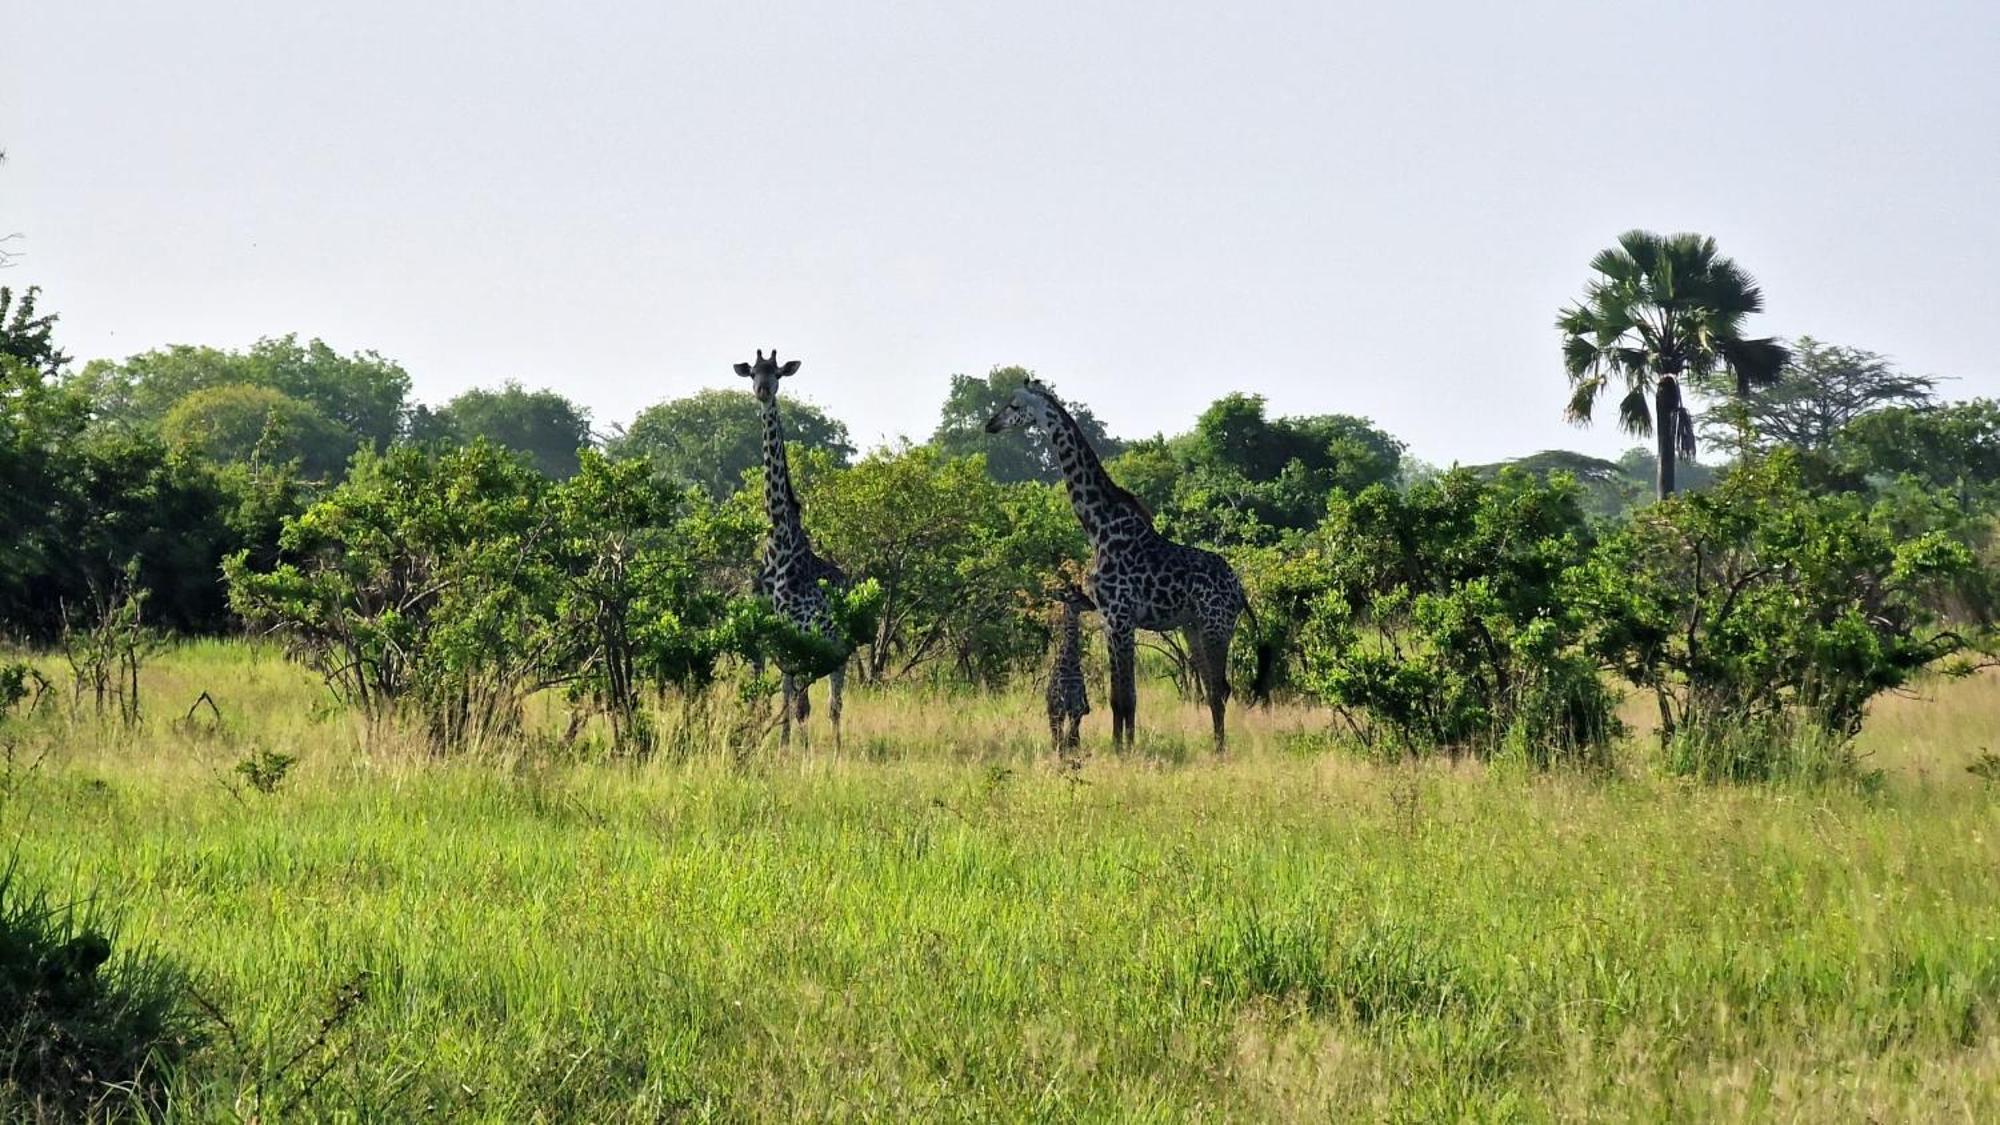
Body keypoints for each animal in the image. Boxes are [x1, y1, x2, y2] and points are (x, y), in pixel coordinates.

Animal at [740, 348, 856, 744]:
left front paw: (799, 752)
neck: (780, 543)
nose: (762, 390)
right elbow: (783, 703)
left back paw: (837, 749)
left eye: (776, 373)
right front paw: (782, 748)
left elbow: (802, 706)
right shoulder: (772, 642)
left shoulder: (805, 635)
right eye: (751, 373)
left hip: (839, 649)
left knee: (835, 703)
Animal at [1048, 576, 1096, 752]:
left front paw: (1074, 746)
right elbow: (1066, 734)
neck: (1070, 661)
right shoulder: (1064, 700)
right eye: (1075, 599)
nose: (1093, 605)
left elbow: (1075, 729)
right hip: (1053, 709)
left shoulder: (1077, 699)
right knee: (1055, 732)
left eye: (1085, 594)